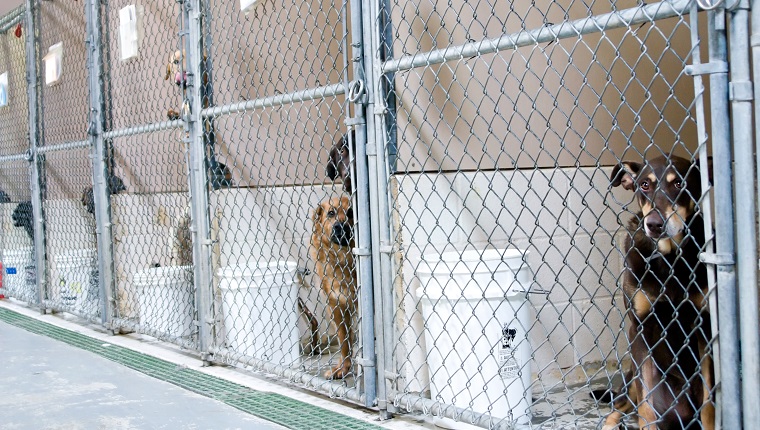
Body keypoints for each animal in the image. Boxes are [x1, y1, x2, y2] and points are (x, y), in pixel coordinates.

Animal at [308, 196, 356, 380]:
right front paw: (343, 368)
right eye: (331, 213)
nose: (341, 226)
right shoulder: (336, 304)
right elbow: (344, 341)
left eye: (351, 212)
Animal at [600, 156, 712, 430]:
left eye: (679, 183)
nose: (653, 224)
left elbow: (709, 403)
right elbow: (646, 403)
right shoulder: (641, 328)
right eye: (644, 185)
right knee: (619, 405)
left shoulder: (704, 326)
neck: (669, 259)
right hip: (629, 381)